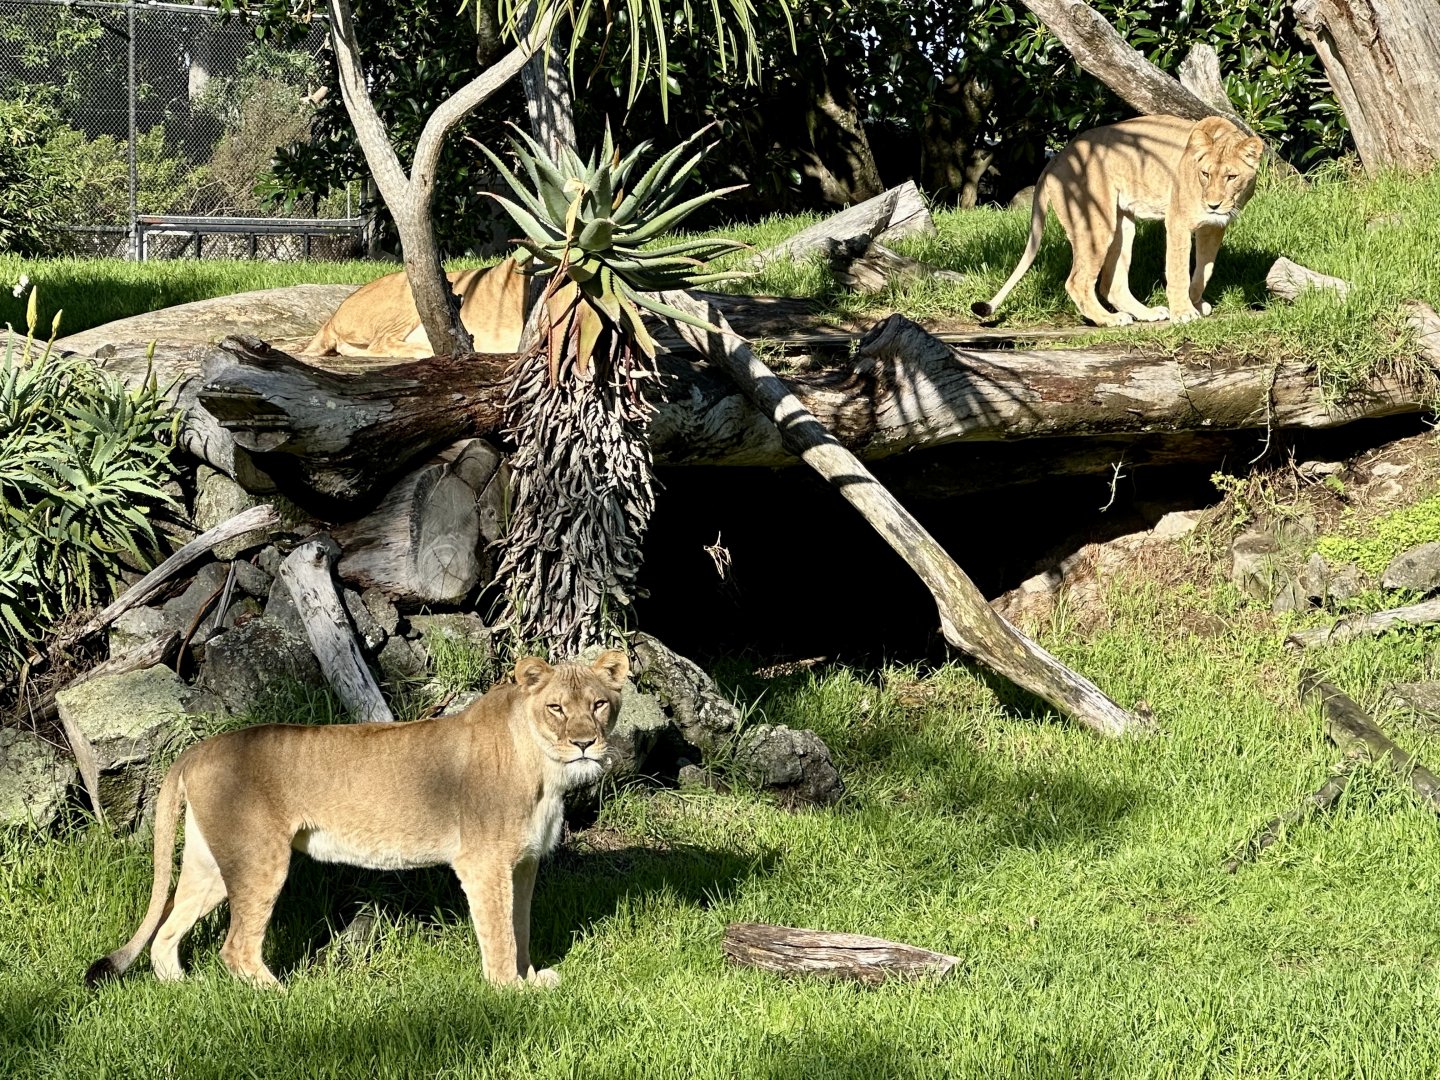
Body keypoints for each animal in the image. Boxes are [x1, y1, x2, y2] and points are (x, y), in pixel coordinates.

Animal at [85, 650, 629, 989]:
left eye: (599, 704)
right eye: (556, 708)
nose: (584, 742)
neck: (546, 772)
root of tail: (199, 749)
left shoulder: (523, 863)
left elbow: (521, 924)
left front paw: (531, 977)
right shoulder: (484, 862)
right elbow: (498, 930)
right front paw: (509, 990)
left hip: (213, 865)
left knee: (167, 931)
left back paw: (184, 988)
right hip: (260, 860)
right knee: (235, 947)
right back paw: (283, 997)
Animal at [973, 115, 1265, 327]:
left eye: (1231, 177)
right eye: (1205, 174)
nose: (1213, 204)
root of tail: (1056, 159)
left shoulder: (1213, 228)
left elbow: (1205, 270)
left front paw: (1195, 303)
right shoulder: (1178, 222)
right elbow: (1179, 269)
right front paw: (1183, 311)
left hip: (1122, 224)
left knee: (1111, 284)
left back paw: (1146, 313)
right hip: (1095, 223)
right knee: (1077, 281)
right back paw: (1110, 319)